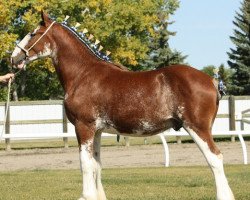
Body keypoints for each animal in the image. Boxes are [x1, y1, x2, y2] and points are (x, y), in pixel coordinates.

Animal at [11, 11, 234, 199]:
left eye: (33, 33)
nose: (13, 57)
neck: (83, 73)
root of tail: (212, 80)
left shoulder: (84, 127)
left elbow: (85, 164)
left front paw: (87, 195)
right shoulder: (97, 131)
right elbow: (96, 164)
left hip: (197, 128)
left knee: (215, 158)